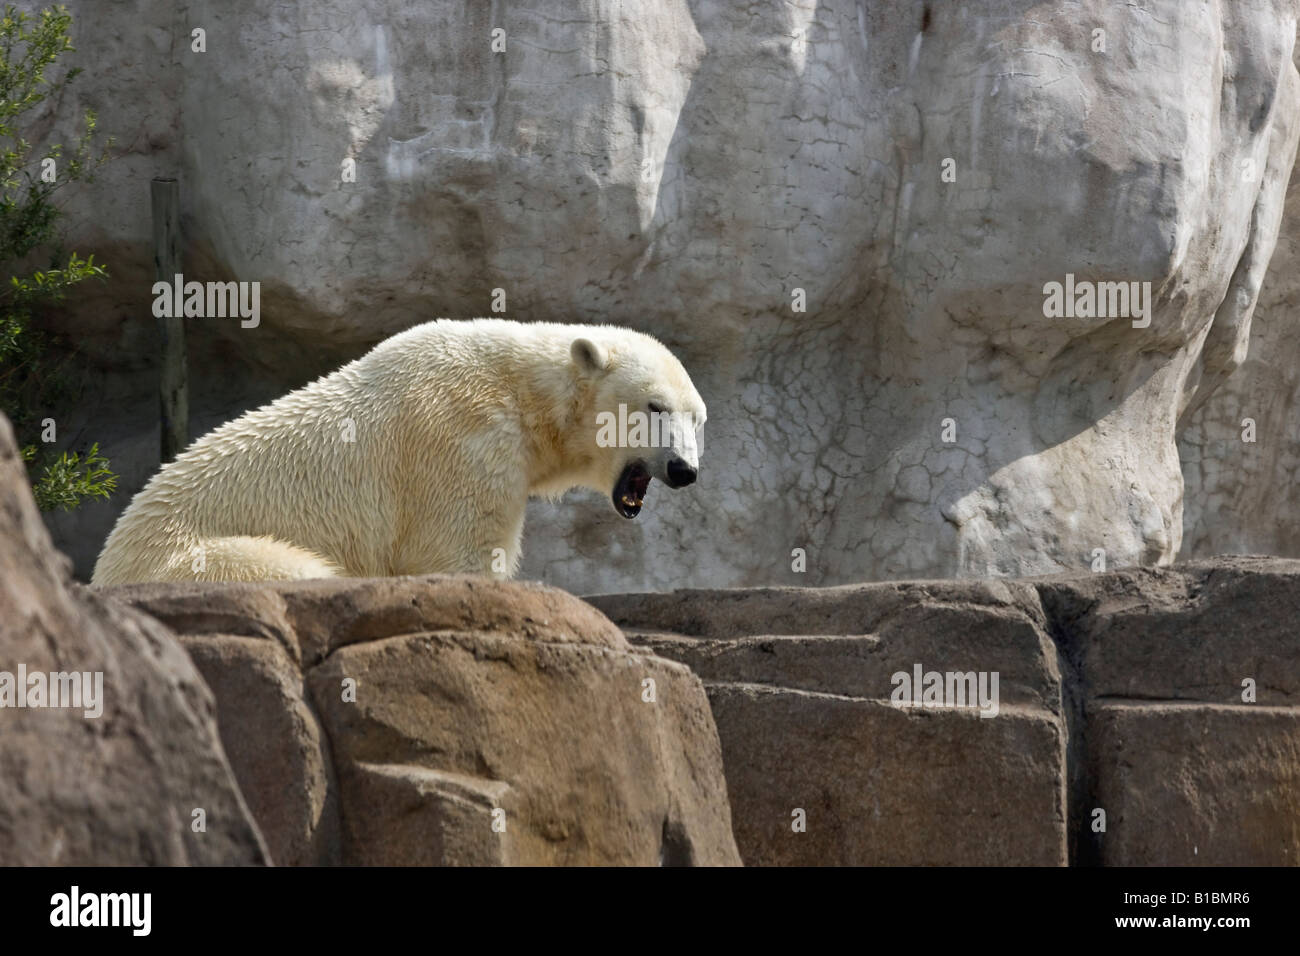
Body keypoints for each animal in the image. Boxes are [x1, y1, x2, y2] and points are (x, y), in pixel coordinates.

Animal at [90, 321, 707, 587]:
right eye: (655, 407)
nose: (685, 470)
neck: (519, 389)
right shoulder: (461, 443)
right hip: (194, 559)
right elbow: (459, 552)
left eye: (697, 418)